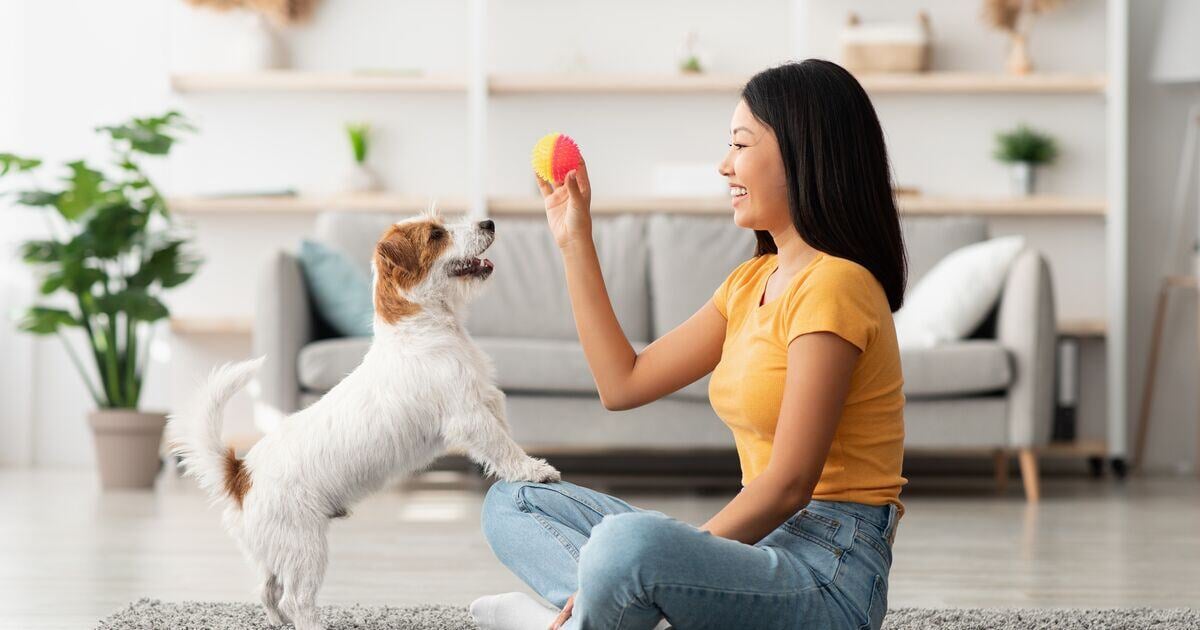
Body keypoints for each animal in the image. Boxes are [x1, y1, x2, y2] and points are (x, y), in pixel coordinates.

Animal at [166, 207, 559, 628]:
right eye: (436, 234)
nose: (489, 223)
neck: (422, 327)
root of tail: (240, 474)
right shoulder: (469, 415)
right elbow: (502, 447)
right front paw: (534, 470)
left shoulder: (488, 400)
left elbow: (505, 436)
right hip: (306, 548)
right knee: (295, 599)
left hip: (277, 551)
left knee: (267, 590)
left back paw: (278, 622)